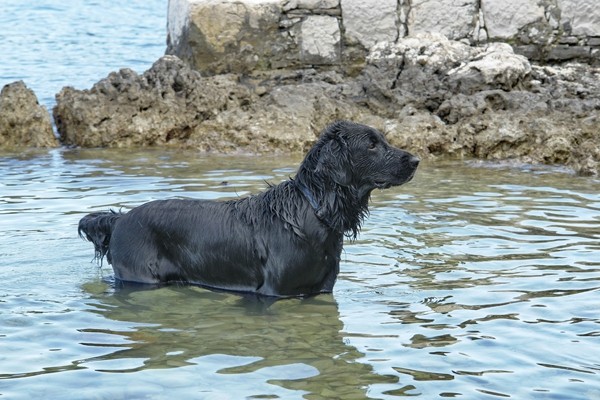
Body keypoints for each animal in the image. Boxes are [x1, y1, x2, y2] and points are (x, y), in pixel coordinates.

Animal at [78, 121, 418, 296]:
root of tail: (120, 219)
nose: (416, 160)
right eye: (371, 144)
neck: (311, 211)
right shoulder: (273, 291)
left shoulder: (323, 290)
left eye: (383, 139)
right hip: (140, 276)